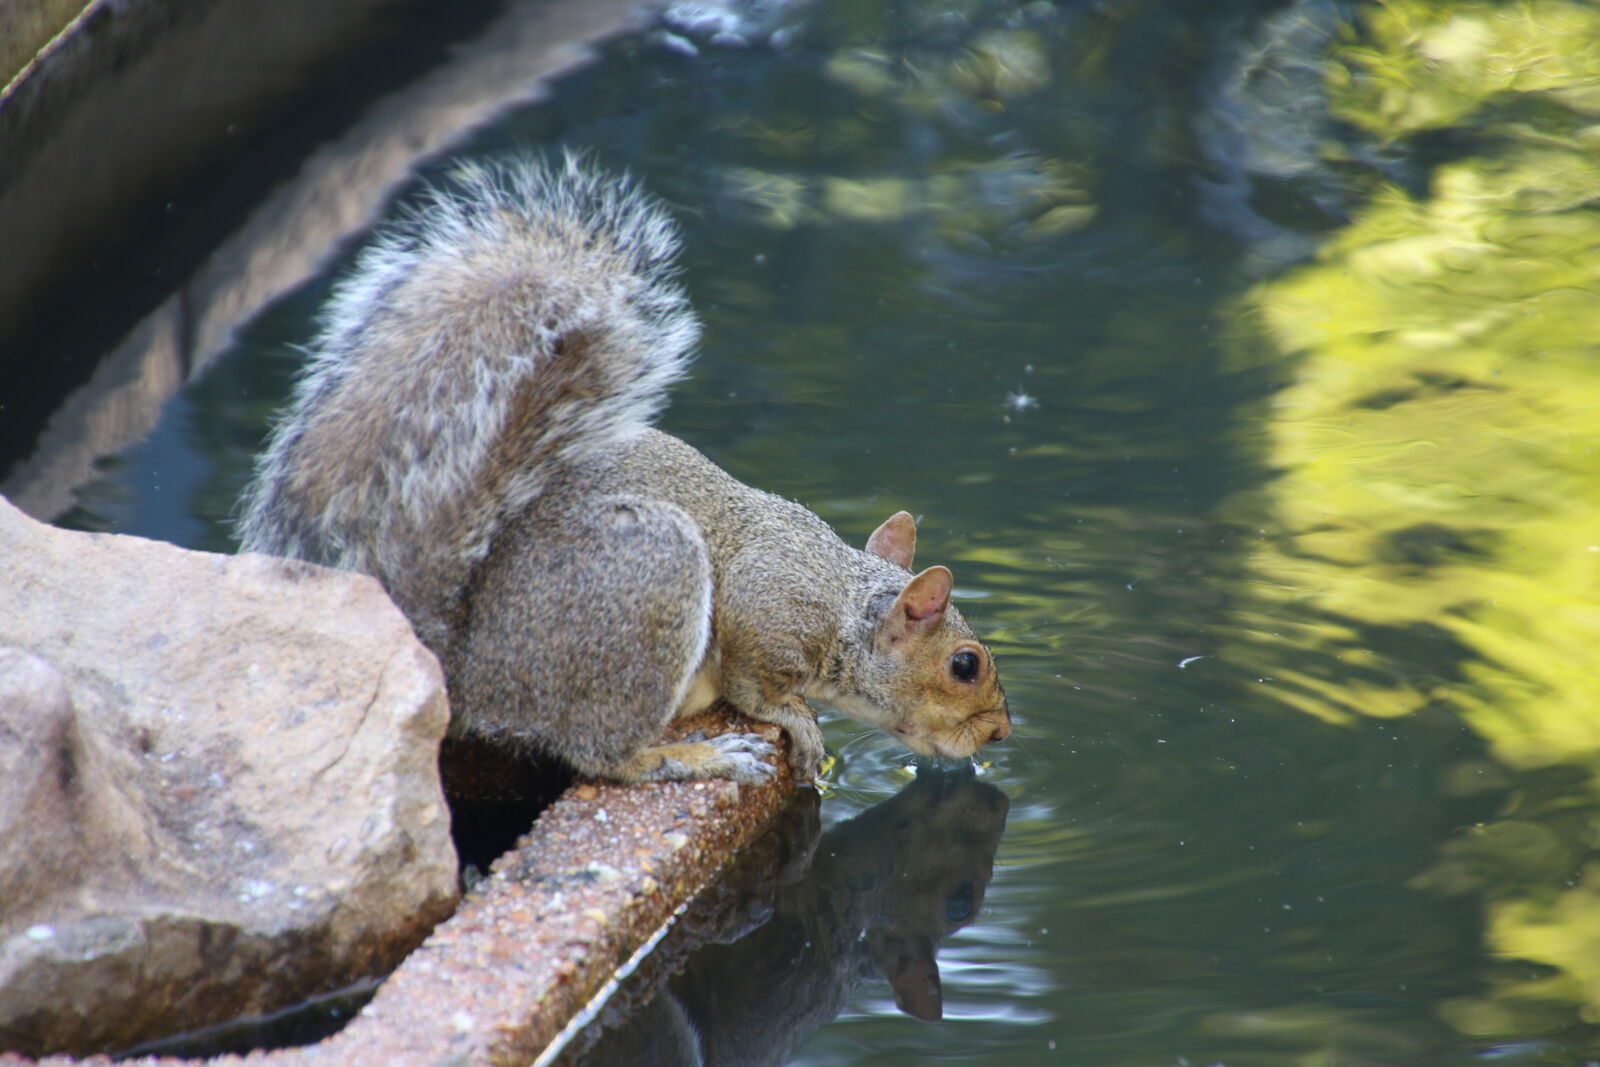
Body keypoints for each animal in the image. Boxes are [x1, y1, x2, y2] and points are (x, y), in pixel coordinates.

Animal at [236, 155, 1010, 786]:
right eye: (964, 665)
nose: (1003, 732)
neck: (844, 603)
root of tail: (466, 667)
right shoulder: (766, 610)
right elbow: (759, 688)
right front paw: (801, 726)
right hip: (651, 582)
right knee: (600, 755)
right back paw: (694, 757)